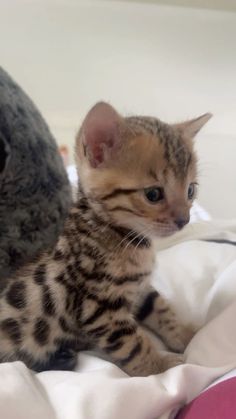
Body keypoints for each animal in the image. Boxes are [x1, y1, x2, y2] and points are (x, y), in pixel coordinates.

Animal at [0, 102, 212, 378]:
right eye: (153, 194)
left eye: (190, 190)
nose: (184, 220)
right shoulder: (99, 308)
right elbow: (134, 346)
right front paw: (162, 367)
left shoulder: (140, 288)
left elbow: (163, 310)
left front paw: (188, 335)